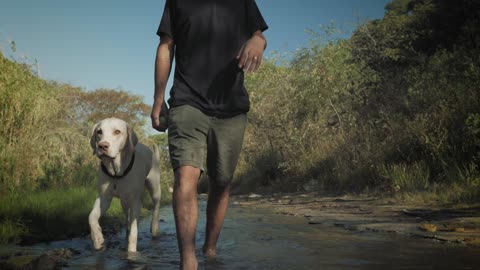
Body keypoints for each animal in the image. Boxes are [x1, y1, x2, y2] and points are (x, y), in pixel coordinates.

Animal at [90, 117, 163, 252]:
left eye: (117, 132)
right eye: (99, 132)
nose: (102, 146)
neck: (116, 173)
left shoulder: (135, 201)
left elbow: (134, 234)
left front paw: (132, 252)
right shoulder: (104, 198)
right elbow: (91, 216)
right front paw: (97, 239)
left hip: (154, 187)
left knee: (156, 206)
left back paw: (155, 228)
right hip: (124, 202)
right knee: (127, 215)